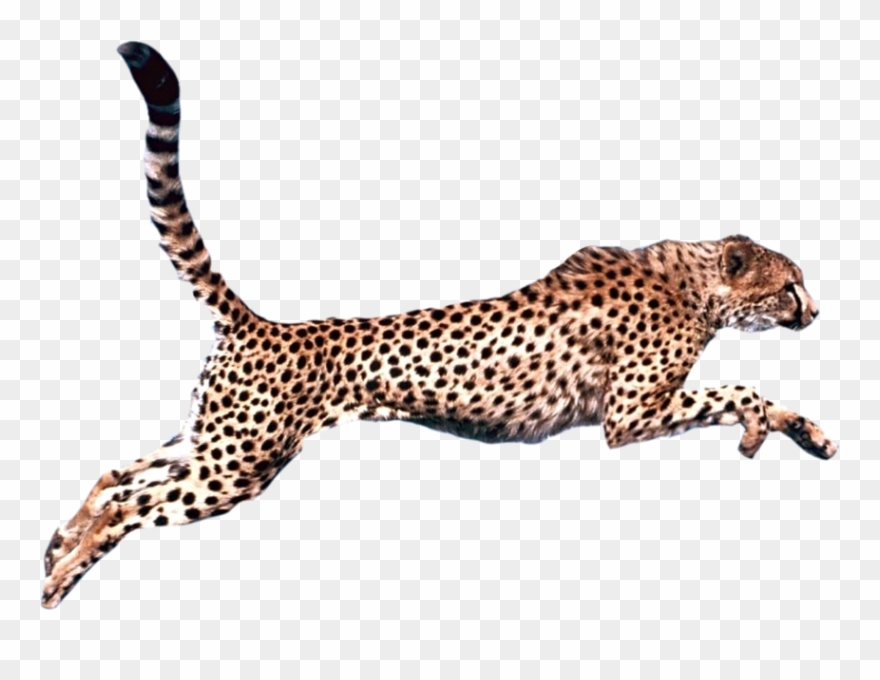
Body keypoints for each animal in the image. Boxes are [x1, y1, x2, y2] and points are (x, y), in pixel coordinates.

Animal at [41, 42, 837, 608]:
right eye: (790, 285)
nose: (817, 310)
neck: (696, 284)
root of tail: (260, 323)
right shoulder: (631, 414)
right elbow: (741, 390)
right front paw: (762, 429)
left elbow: (759, 398)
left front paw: (809, 435)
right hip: (237, 464)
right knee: (133, 503)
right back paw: (61, 577)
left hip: (216, 442)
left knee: (117, 474)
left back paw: (58, 544)